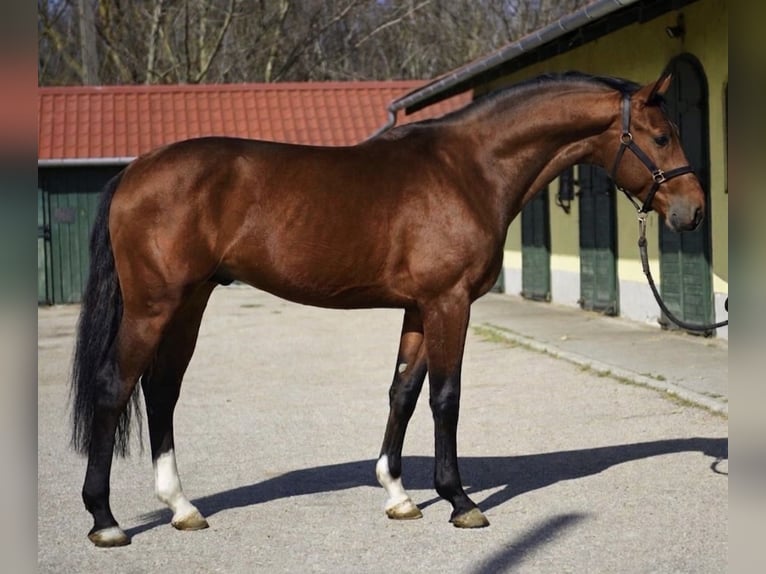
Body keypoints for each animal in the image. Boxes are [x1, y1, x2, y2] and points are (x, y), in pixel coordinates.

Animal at [70, 70, 704, 546]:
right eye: (662, 136)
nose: (694, 212)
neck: (468, 169)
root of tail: (134, 171)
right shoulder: (450, 303)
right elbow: (446, 397)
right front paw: (460, 499)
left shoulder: (420, 308)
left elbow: (403, 391)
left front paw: (399, 495)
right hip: (154, 306)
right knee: (114, 387)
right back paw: (105, 520)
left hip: (190, 302)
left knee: (161, 391)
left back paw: (182, 507)